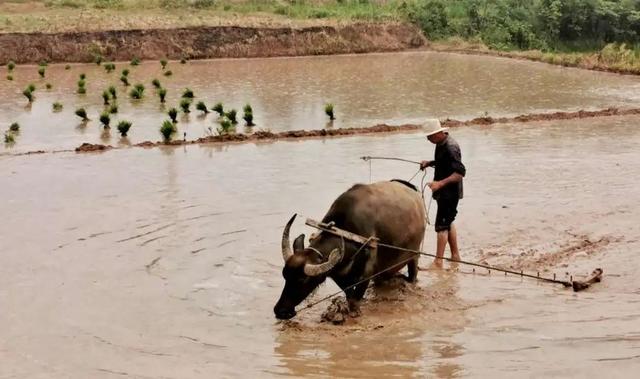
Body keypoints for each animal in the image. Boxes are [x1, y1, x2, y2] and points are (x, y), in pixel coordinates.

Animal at [274, 181, 424, 320]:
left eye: (302, 280)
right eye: (284, 275)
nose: (281, 311)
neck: (347, 234)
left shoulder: (367, 272)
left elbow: (355, 298)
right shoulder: (337, 273)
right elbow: (349, 294)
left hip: (414, 255)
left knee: (413, 272)